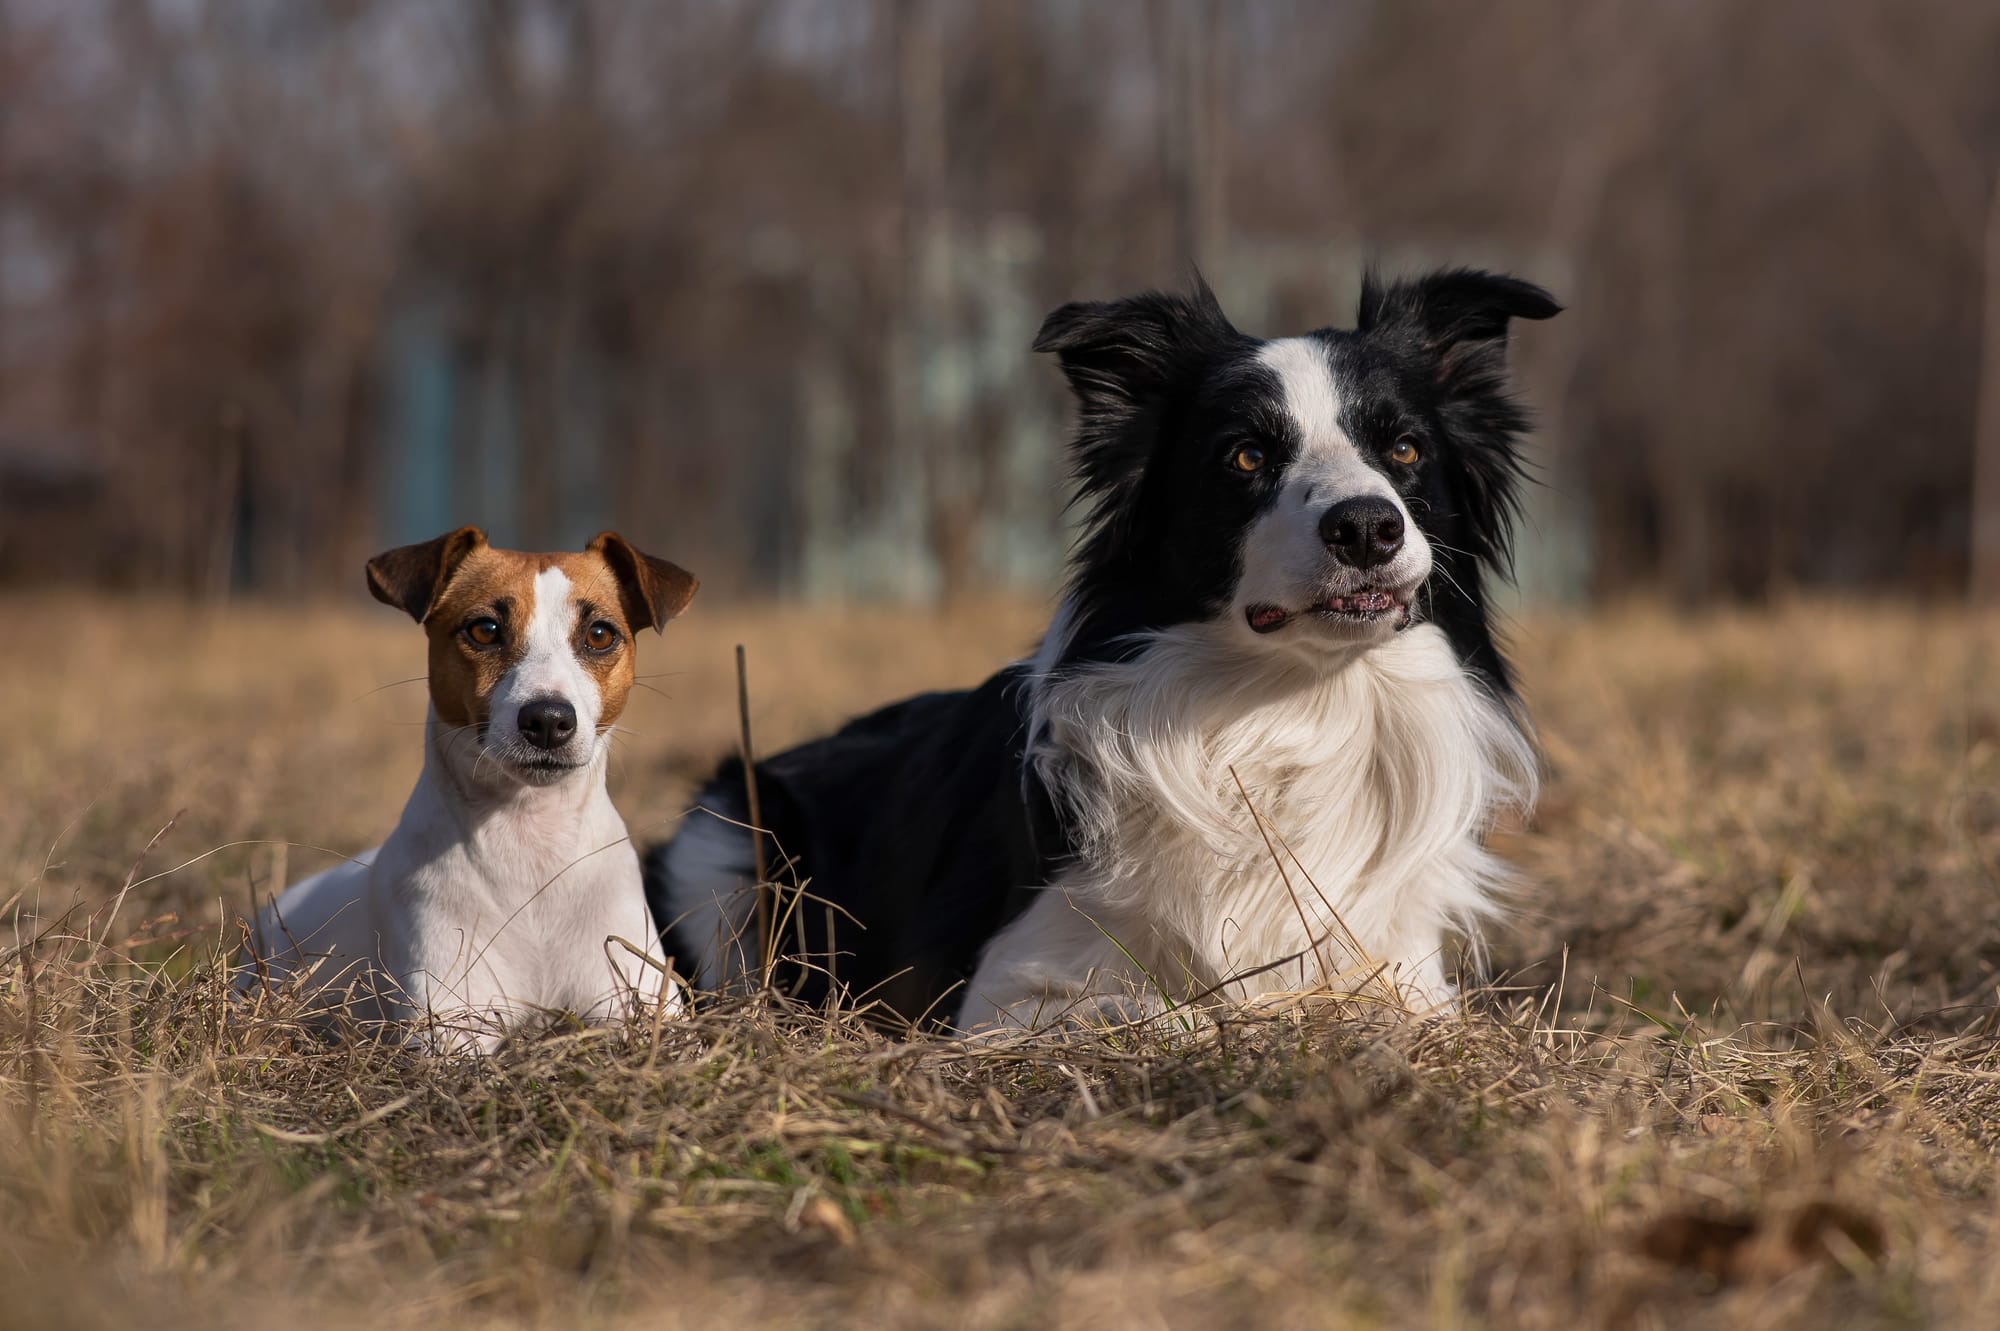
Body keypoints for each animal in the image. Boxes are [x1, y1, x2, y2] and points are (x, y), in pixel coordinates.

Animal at [238, 523, 696, 1055]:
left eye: (600, 634)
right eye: (484, 629)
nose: (548, 719)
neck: (530, 842)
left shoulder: (637, 1000)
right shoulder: (449, 1028)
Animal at [648, 267, 1552, 1023]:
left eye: (1404, 448)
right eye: (1246, 455)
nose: (1366, 526)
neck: (1292, 704)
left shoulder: (1408, 976)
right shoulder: (999, 991)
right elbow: (1163, 1011)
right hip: (725, 837)